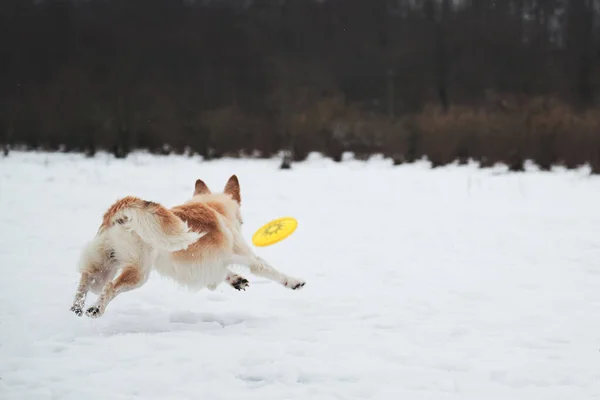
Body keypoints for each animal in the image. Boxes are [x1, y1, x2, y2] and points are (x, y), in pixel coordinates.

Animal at [70, 175, 304, 318]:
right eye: (242, 222)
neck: (215, 208)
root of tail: (121, 211)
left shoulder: (208, 266)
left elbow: (222, 274)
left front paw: (236, 280)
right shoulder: (244, 256)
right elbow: (268, 269)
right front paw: (294, 282)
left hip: (103, 265)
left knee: (86, 279)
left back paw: (77, 307)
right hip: (138, 273)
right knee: (110, 288)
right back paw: (96, 309)